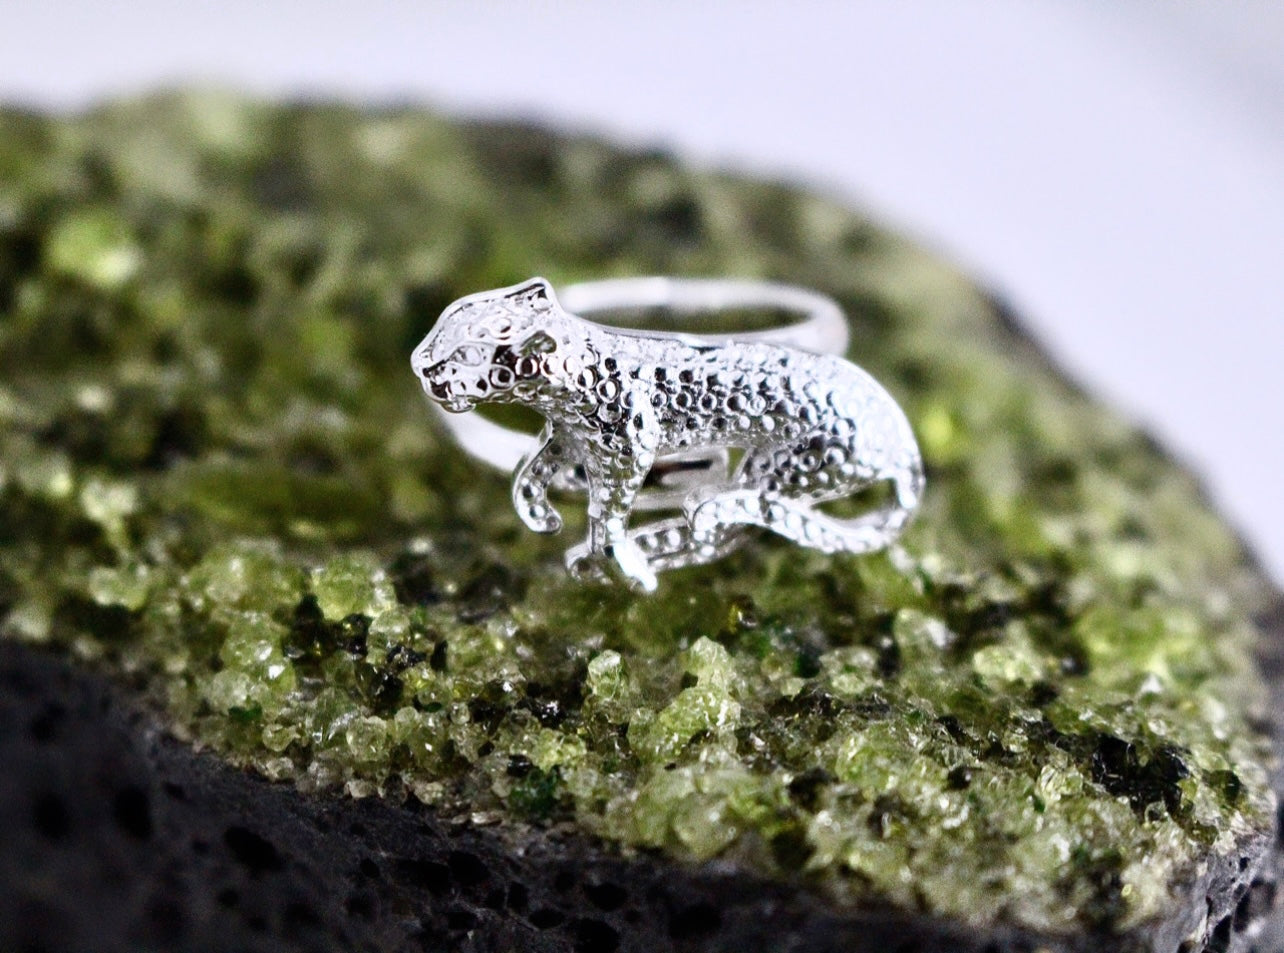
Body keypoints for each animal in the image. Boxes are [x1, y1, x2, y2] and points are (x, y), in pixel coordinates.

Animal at [412, 278, 924, 592]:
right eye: (445, 323)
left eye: (470, 353)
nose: (420, 364)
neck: (581, 371)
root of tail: (906, 449)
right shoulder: (571, 437)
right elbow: (535, 468)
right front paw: (539, 511)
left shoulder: (628, 452)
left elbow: (608, 514)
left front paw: (616, 557)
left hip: (797, 465)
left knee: (723, 530)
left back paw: (640, 553)